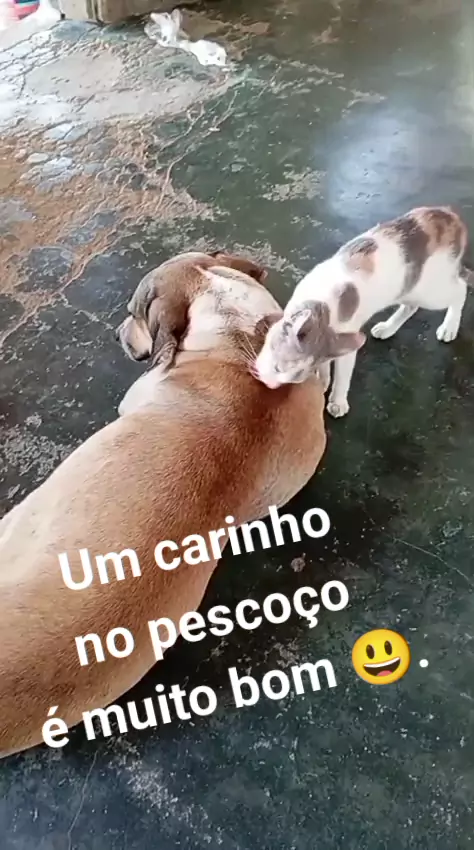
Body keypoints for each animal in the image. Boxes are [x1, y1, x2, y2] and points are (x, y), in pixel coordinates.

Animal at [254, 206, 470, 418]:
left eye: (282, 370)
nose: (270, 385)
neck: (324, 309)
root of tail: (451, 215)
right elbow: (325, 364)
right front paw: (322, 379)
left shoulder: (346, 338)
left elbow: (343, 376)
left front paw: (337, 401)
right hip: (408, 289)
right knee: (412, 305)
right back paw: (387, 328)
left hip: (431, 292)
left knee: (460, 288)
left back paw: (449, 327)